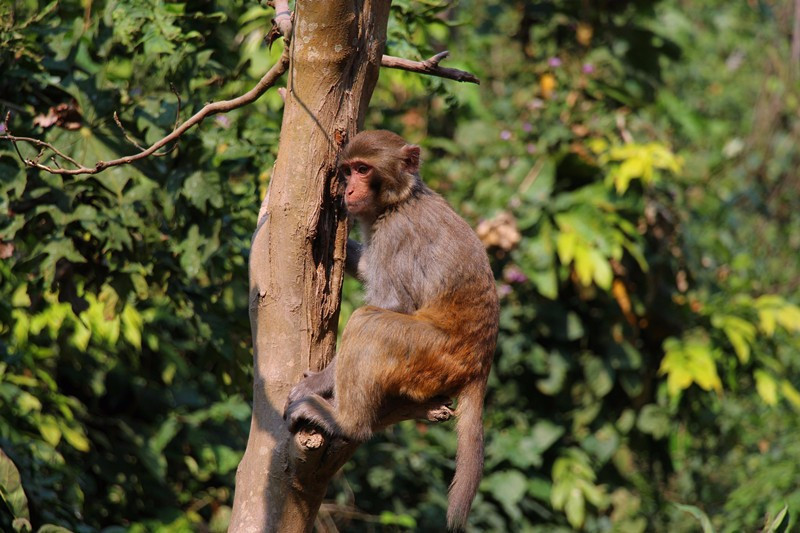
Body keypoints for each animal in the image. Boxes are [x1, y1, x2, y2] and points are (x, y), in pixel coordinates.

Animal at [282, 128, 494, 528]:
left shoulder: (396, 235)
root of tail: (480, 365)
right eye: (348, 170)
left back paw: (345, 421)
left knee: (370, 323)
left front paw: (317, 383)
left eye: (364, 169)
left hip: (432, 355)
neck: (399, 202)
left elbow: (392, 305)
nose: (349, 190)